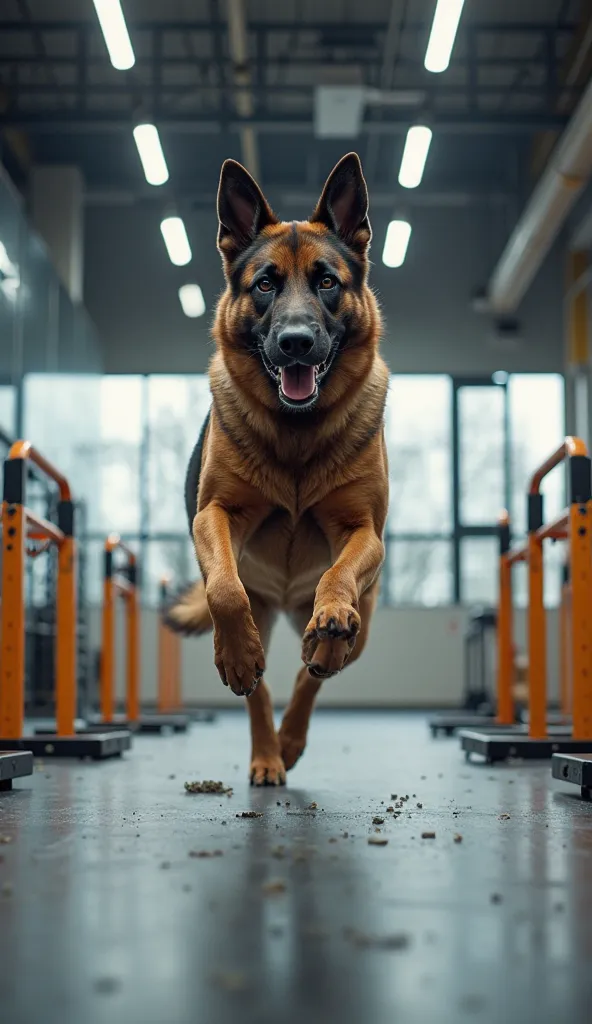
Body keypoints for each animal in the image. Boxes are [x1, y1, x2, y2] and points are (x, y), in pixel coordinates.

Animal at [164, 153, 387, 782]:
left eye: (327, 282)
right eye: (265, 284)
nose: (295, 343)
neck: (296, 436)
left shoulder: (364, 532)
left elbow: (339, 576)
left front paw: (330, 619)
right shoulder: (214, 515)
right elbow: (224, 591)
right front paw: (239, 659)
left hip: (364, 618)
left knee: (316, 673)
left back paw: (302, 707)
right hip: (263, 611)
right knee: (261, 687)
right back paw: (268, 751)